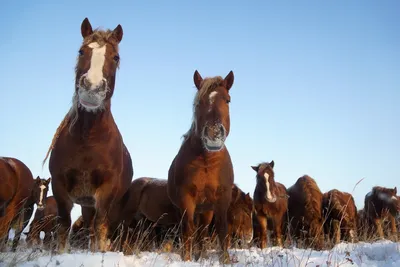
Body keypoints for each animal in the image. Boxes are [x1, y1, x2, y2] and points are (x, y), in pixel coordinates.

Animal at [42, 17, 133, 253]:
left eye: (115, 57)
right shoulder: (60, 185)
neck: (88, 140)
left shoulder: (106, 190)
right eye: (82, 51)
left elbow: (100, 226)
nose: (92, 89)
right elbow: (64, 224)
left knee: (95, 226)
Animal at [167, 69, 236, 264]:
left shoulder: (222, 198)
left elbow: (222, 229)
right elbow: (188, 230)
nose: (213, 134)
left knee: (202, 231)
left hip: (206, 210)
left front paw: (225, 260)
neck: (206, 161)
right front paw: (187, 259)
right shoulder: (186, 199)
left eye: (227, 100)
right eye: (198, 102)